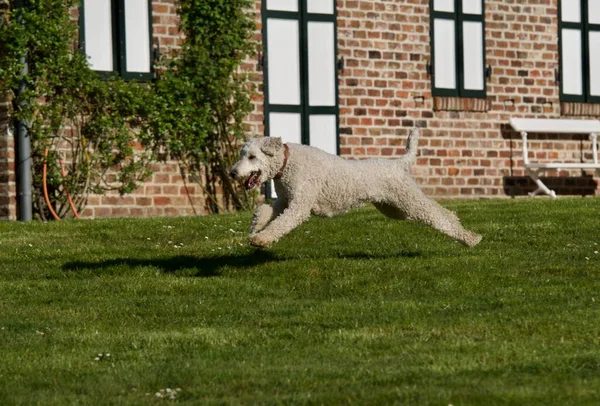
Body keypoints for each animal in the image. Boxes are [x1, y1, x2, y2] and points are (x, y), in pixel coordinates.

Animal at [230, 130, 482, 249]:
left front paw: (262, 239)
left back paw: (469, 238)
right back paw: (461, 226)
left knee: (437, 215)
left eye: (251, 157)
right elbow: (264, 211)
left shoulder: (299, 206)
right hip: (396, 209)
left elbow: (280, 224)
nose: (232, 173)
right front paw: (255, 230)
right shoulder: (284, 201)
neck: (287, 164)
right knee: (442, 212)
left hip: (409, 200)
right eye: (242, 155)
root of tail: (398, 163)